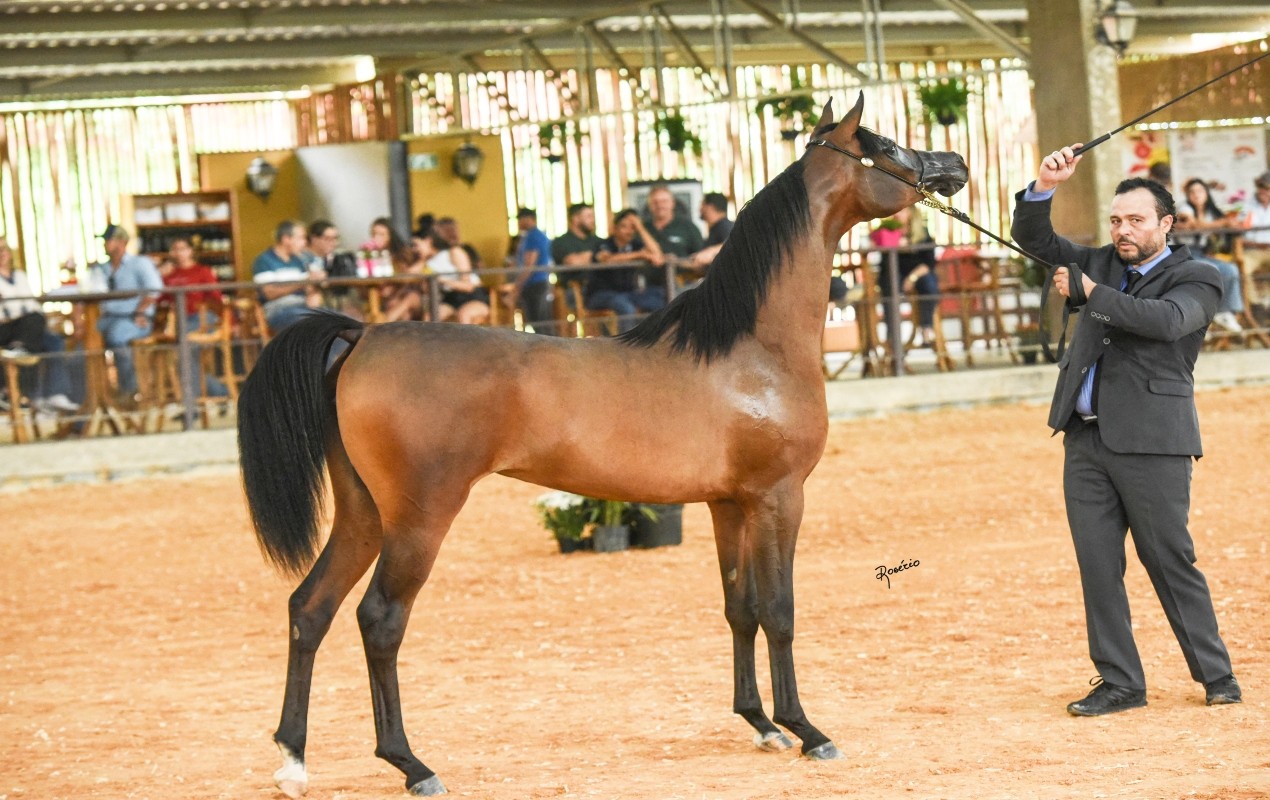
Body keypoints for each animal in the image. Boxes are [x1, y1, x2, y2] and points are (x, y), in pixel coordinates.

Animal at [237, 93, 968, 797]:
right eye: (886, 145)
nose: (955, 164)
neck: (751, 351)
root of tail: (361, 334)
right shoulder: (778, 499)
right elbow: (780, 612)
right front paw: (807, 730)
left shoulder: (728, 505)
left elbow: (740, 609)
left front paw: (760, 724)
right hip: (419, 520)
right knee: (380, 620)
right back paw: (412, 765)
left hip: (363, 514)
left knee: (310, 609)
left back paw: (292, 761)